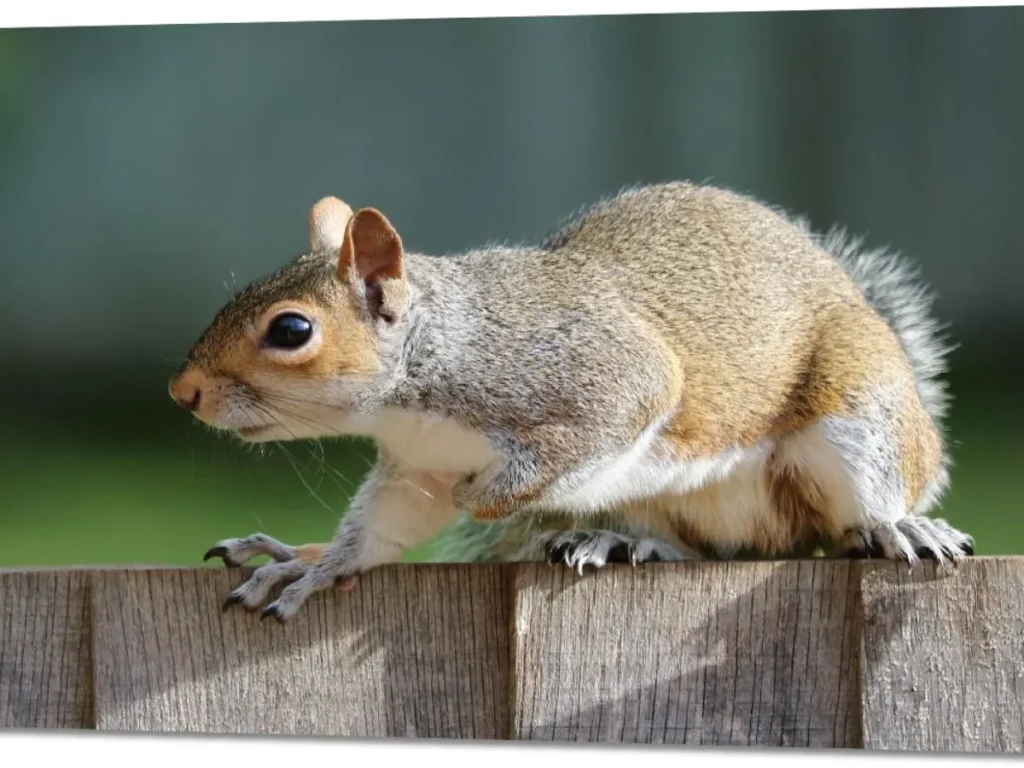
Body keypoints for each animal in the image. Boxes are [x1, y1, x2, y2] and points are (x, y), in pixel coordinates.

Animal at [169, 180, 975, 622]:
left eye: (292, 330)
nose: (184, 392)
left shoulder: (604, 377)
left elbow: (598, 428)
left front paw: (489, 496)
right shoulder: (417, 467)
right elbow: (383, 529)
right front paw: (312, 566)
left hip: (859, 408)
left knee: (852, 512)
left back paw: (897, 526)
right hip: (672, 508)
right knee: (707, 549)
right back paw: (623, 541)